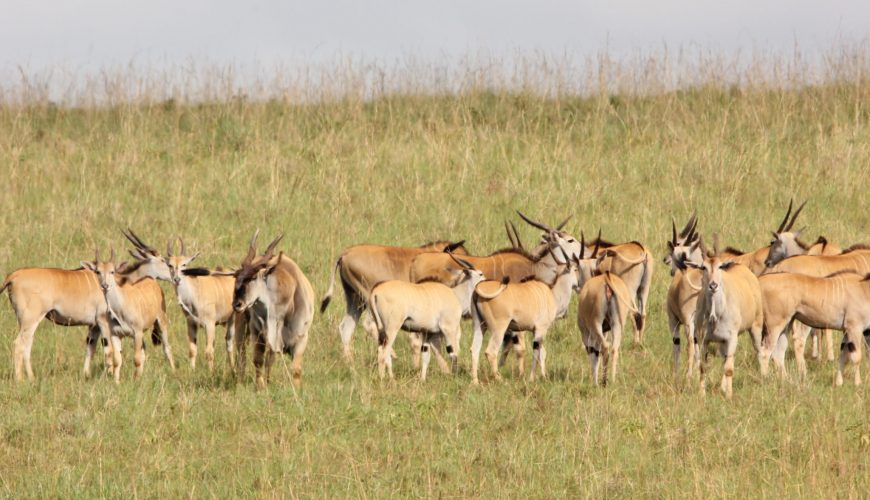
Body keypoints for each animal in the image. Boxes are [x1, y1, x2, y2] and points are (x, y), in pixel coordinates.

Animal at [82, 249, 176, 382]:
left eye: (112, 271)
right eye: (98, 271)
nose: (105, 286)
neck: (121, 309)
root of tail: (151, 280)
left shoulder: (137, 333)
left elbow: (136, 359)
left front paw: (136, 380)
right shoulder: (116, 335)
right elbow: (117, 360)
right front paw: (116, 381)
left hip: (161, 322)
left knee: (167, 348)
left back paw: (173, 372)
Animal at [121, 231, 240, 372]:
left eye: (184, 264)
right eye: (170, 265)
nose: (177, 279)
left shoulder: (210, 324)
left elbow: (209, 351)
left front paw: (211, 372)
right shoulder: (191, 324)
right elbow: (192, 350)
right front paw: (192, 371)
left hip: (233, 320)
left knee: (230, 343)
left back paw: (233, 368)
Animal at [228, 232, 316, 388]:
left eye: (253, 277)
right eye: (236, 276)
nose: (237, 304)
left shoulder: (301, 337)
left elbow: (296, 369)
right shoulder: (258, 333)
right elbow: (258, 360)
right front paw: (260, 386)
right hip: (242, 327)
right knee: (241, 355)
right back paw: (240, 381)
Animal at [322, 240, 470, 362]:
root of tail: (345, 254)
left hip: (355, 301)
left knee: (346, 328)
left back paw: (350, 362)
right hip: (369, 300)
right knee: (369, 325)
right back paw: (391, 354)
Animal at [688, 240, 764, 400]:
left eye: (720, 266)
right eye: (703, 267)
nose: (713, 285)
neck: (715, 315)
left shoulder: (732, 337)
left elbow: (729, 369)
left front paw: (729, 395)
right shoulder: (704, 339)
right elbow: (703, 366)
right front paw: (702, 394)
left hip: (755, 327)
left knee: (759, 352)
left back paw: (764, 377)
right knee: (726, 359)